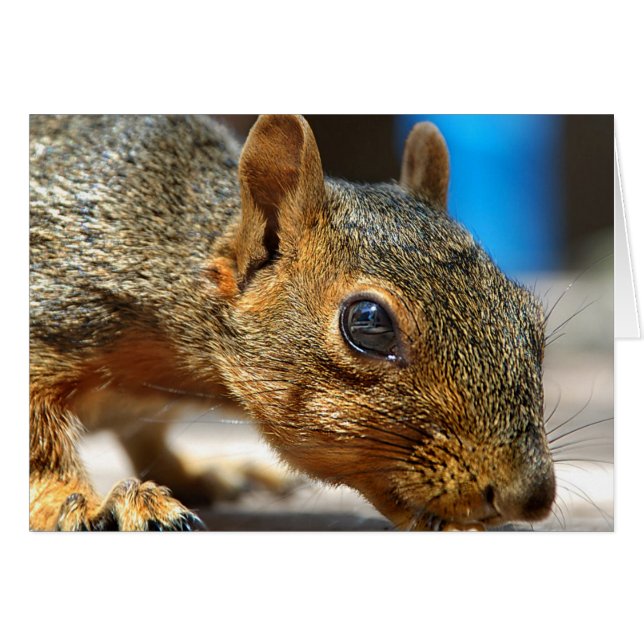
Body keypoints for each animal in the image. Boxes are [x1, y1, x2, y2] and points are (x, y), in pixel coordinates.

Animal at [29, 114, 555, 531]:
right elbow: (39, 449)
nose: (530, 497)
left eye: (527, 315)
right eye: (368, 322)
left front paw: (186, 475)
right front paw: (86, 506)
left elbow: (145, 434)